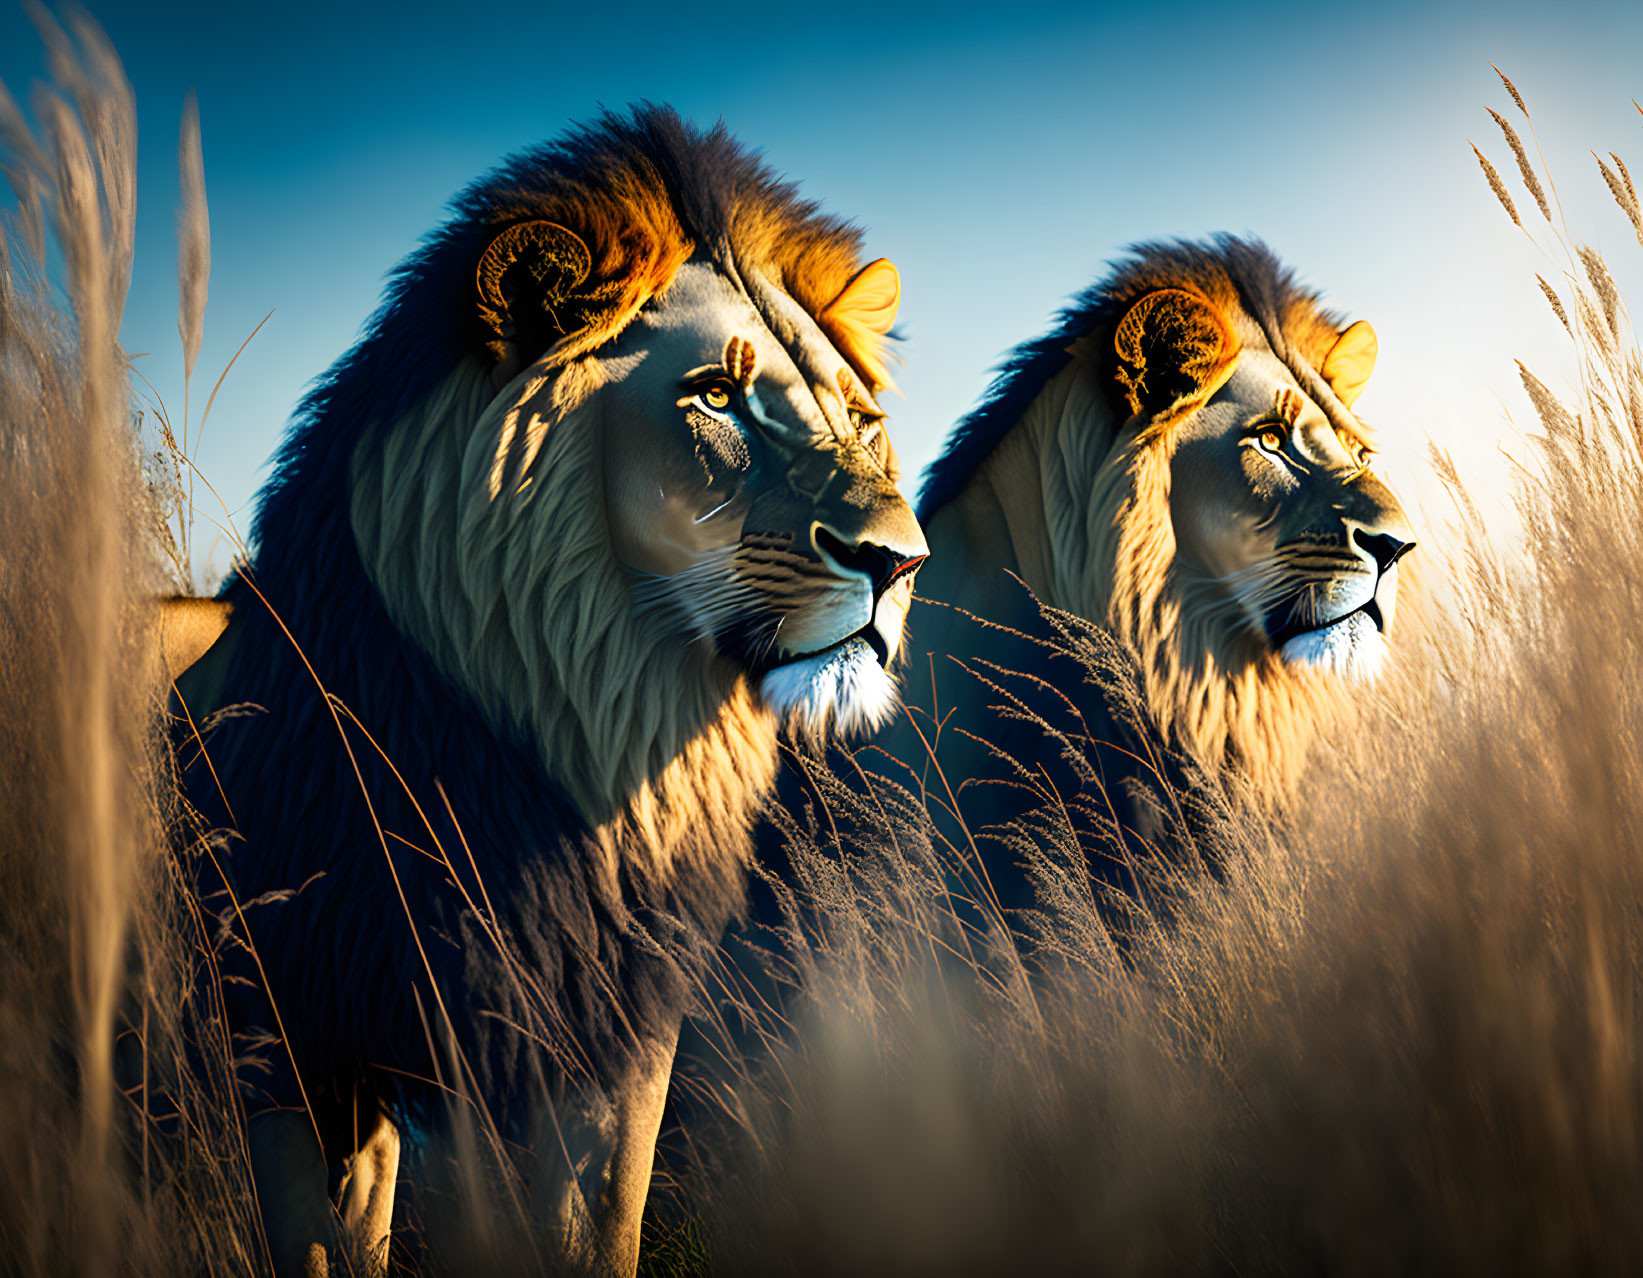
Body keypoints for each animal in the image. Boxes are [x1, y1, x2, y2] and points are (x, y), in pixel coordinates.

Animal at [178, 104, 933, 1268]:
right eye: (718, 397)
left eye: (859, 420)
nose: (898, 561)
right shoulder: (288, 1034)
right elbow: (314, 1244)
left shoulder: (604, 1024)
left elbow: (599, 1226)